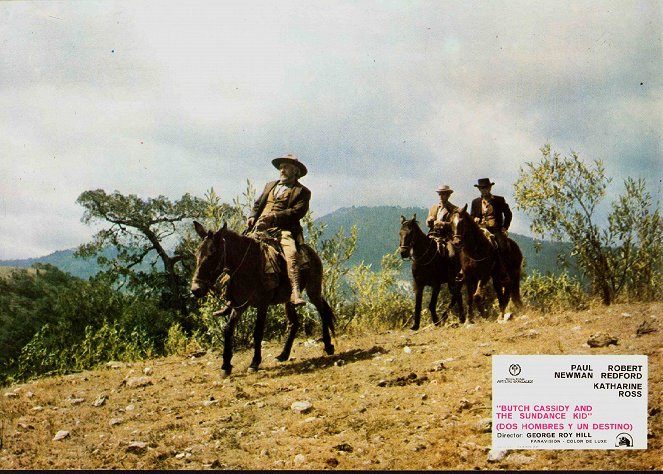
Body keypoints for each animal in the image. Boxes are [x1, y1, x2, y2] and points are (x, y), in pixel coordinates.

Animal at [192, 220, 338, 376]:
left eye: (212, 253)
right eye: (196, 254)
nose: (196, 289)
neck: (247, 265)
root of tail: (310, 251)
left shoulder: (262, 304)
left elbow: (258, 332)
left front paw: (254, 363)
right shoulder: (239, 305)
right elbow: (228, 330)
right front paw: (225, 365)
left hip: (313, 290)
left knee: (322, 312)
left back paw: (328, 346)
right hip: (289, 299)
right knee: (294, 323)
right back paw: (283, 355)